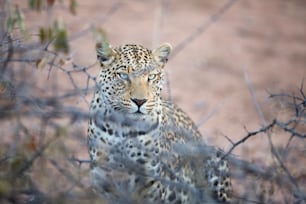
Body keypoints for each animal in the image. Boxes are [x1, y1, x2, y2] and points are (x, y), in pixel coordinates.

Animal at [87, 41, 231, 204]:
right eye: (123, 75)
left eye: (151, 77)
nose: (139, 101)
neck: (124, 128)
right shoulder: (103, 179)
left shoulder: (150, 181)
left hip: (214, 157)